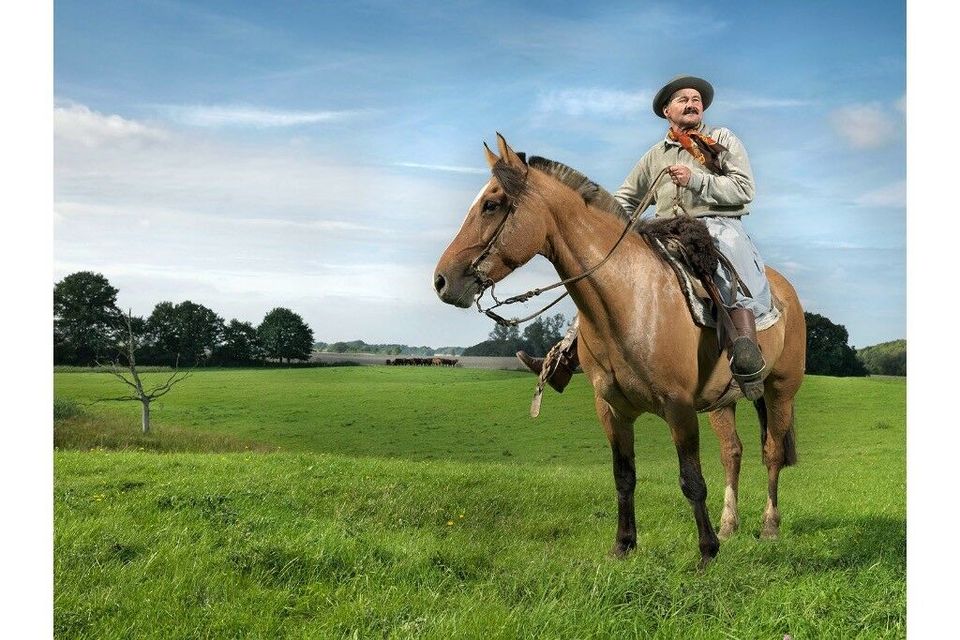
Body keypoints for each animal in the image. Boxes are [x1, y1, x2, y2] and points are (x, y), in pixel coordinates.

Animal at [434, 134, 804, 564]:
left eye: (491, 204)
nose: (442, 281)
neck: (630, 298)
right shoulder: (611, 408)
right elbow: (624, 477)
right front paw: (624, 544)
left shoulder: (678, 407)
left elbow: (691, 479)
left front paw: (706, 551)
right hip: (721, 402)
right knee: (733, 452)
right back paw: (730, 525)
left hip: (780, 390)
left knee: (772, 452)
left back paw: (769, 526)